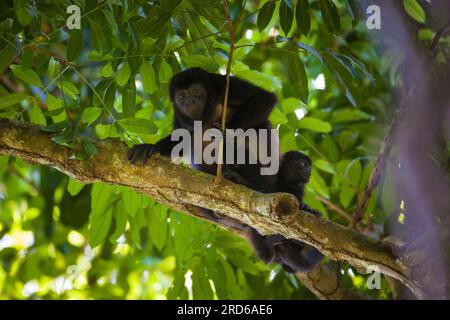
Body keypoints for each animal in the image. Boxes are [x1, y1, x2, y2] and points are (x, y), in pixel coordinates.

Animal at [128, 67, 322, 272]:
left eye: (196, 91)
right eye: (181, 96)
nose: (190, 102)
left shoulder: (223, 84)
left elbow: (264, 98)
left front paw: (225, 135)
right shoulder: (178, 115)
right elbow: (180, 138)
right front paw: (150, 148)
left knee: (260, 128)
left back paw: (250, 179)